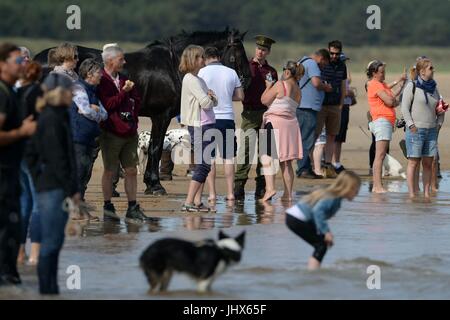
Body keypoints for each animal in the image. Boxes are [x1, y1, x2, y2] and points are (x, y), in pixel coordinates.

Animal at [34, 28, 253, 195]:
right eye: (238, 52)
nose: (248, 79)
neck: (172, 66)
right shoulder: (161, 116)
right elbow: (156, 147)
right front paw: (154, 185)